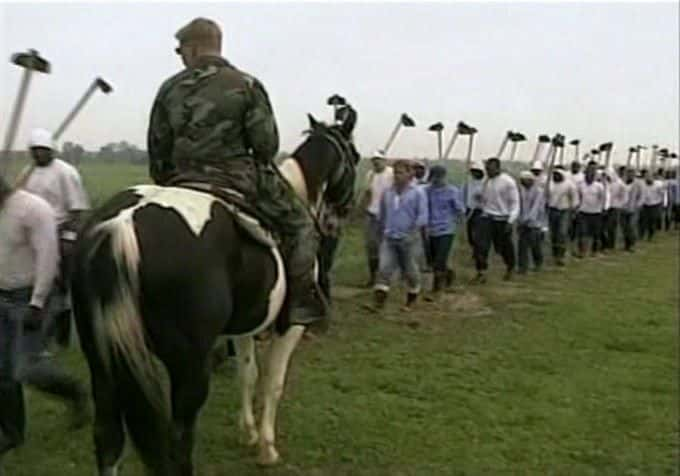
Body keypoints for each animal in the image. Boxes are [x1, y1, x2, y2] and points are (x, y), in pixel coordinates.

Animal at [71, 113, 362, 474]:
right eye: (355, 156)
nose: (342, 215)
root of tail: (121, 227)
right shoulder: (289, 327)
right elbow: (273, 382)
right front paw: (266, 447)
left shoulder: (244, 327)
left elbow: (248, 374)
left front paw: (248, 432)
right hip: (189, 367)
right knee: (178, 442)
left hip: (102, 362)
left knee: (108, 437)